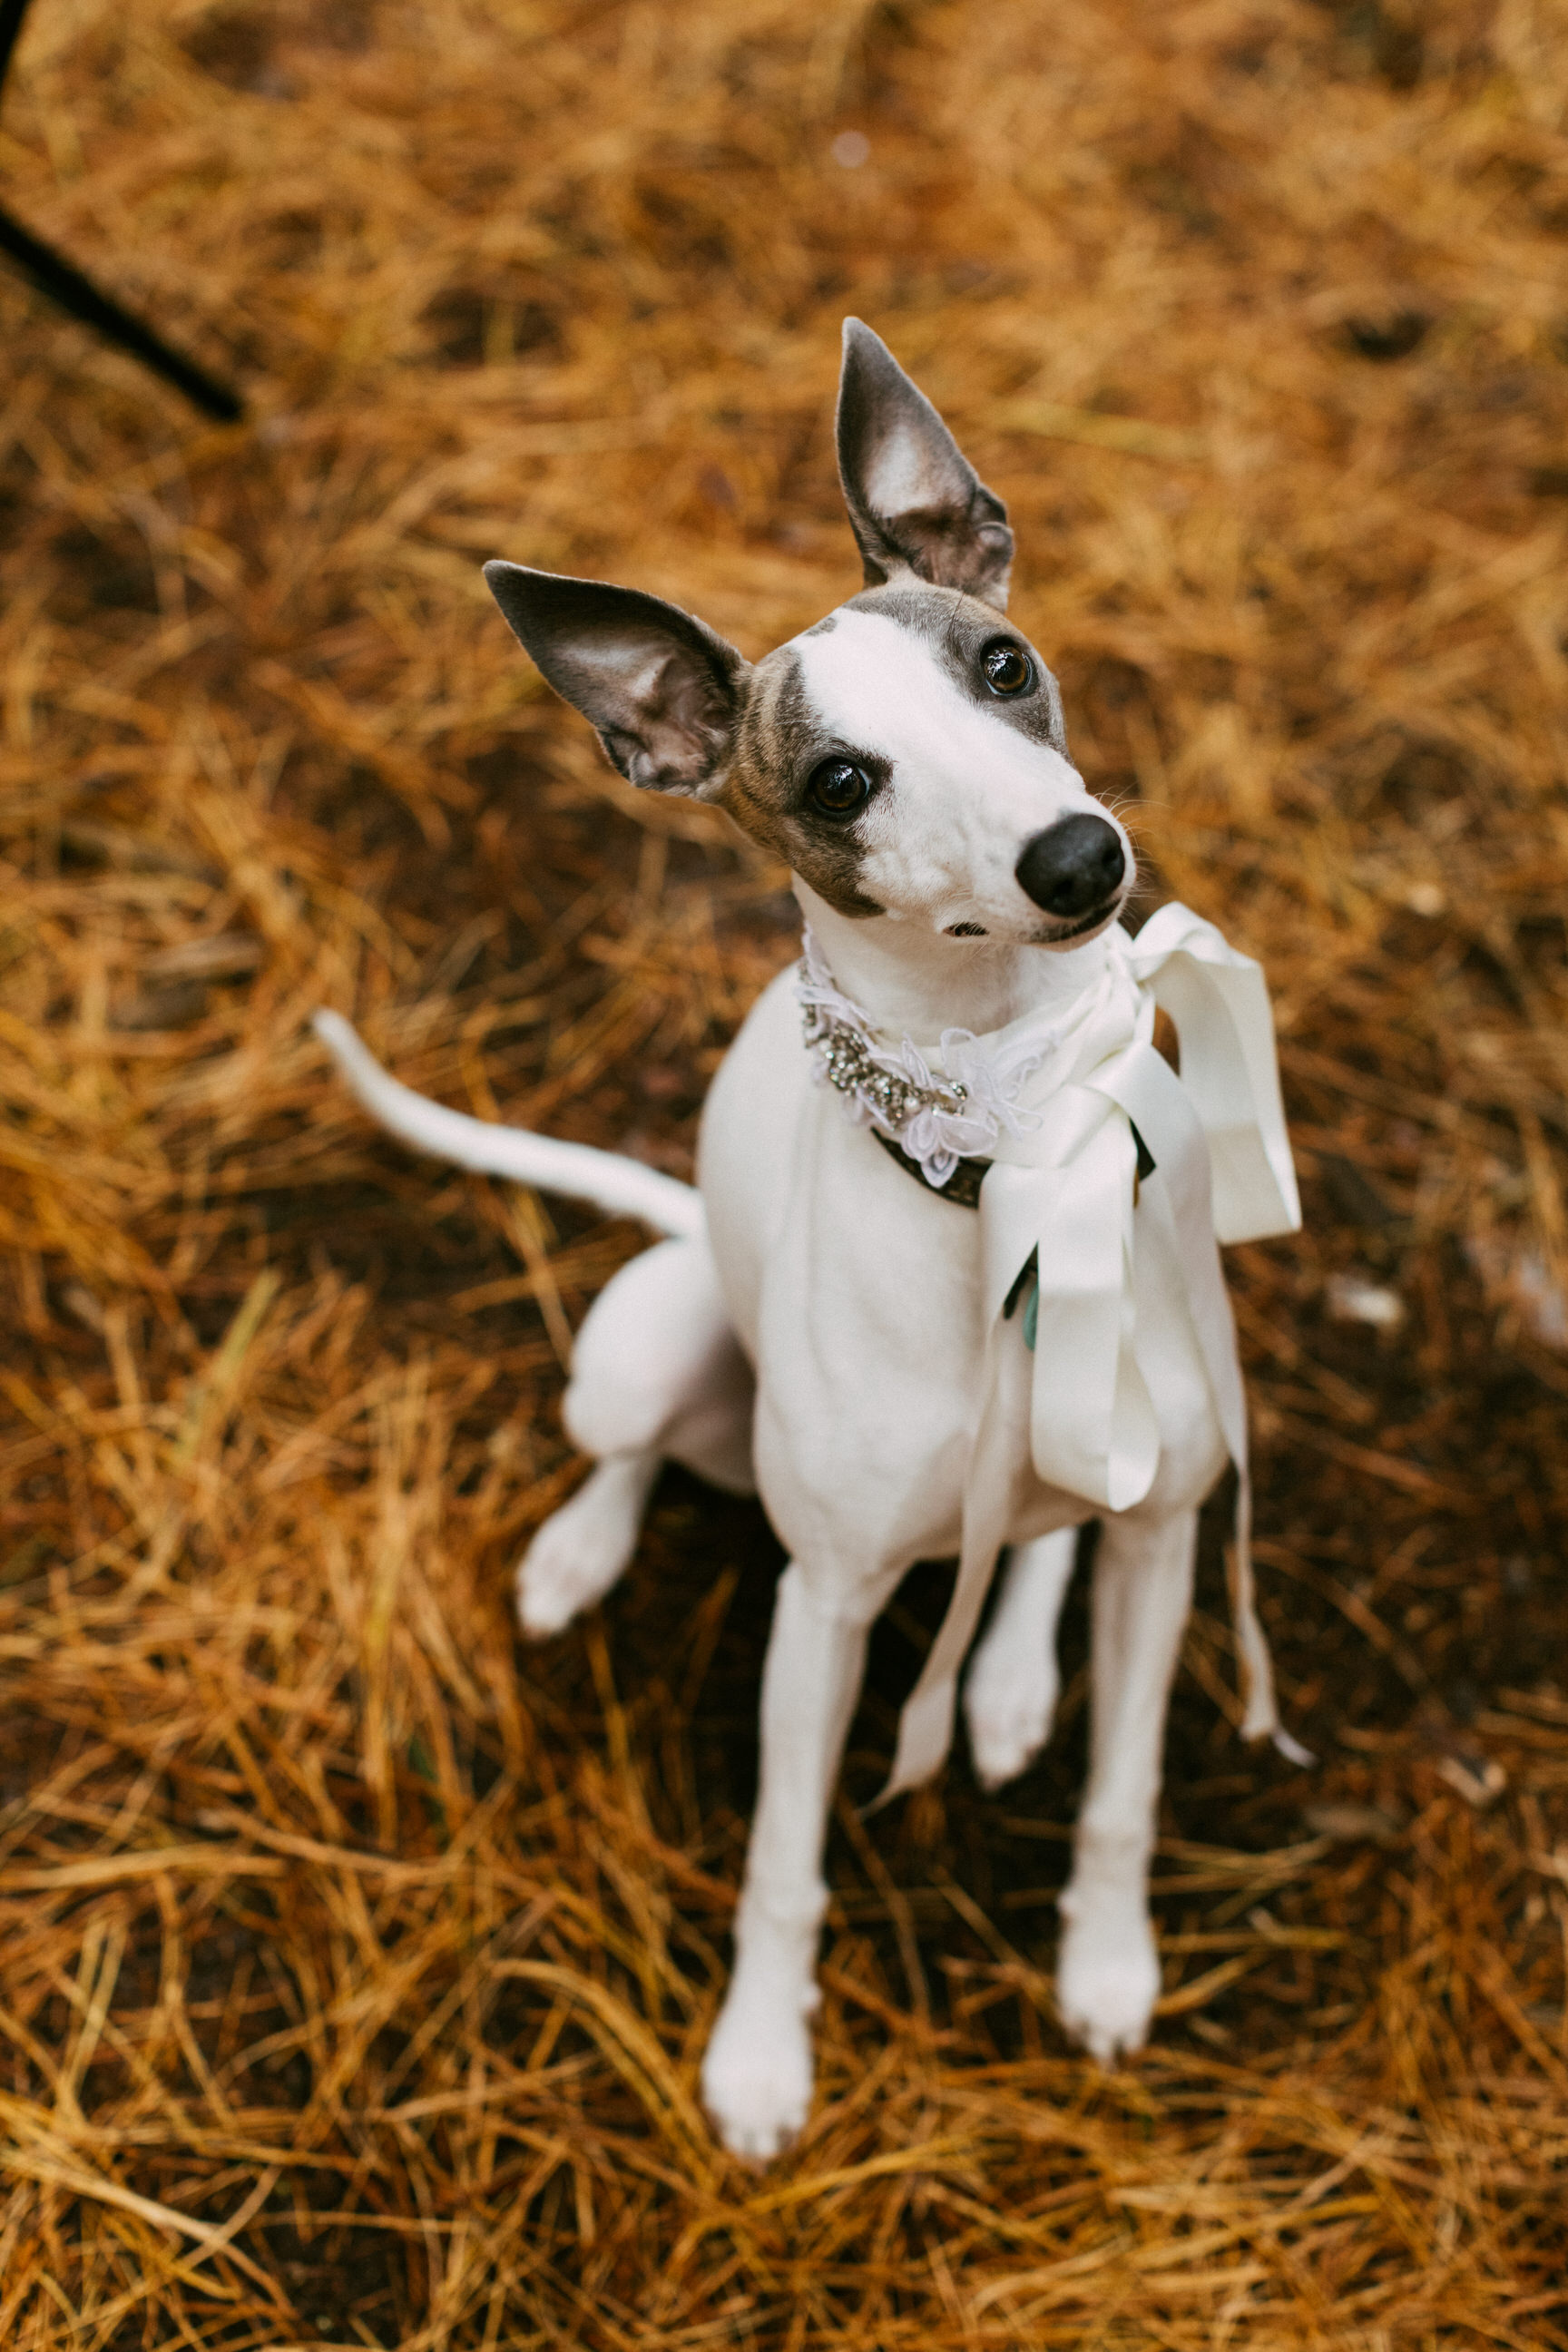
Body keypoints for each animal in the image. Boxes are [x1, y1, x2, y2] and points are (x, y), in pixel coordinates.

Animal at [315, 317, 1298, 2163]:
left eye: (1005, 665)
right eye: (841, 780)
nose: (1082, 859)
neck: (1011, 1151)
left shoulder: (1161, 1542)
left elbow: (1122, 1791)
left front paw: (1107, 1964)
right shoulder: (823, 1610)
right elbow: (783, 1862)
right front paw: (761, 2057)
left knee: (1043, 1539)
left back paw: (1006, 1679)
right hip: (646, 1343)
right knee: (630, 1449)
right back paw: (579, 1554)